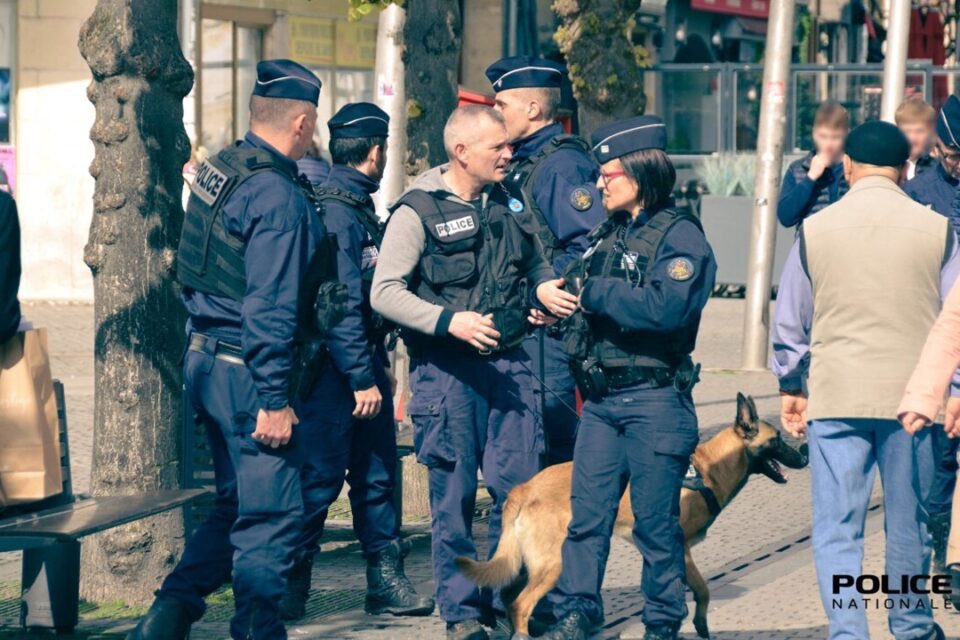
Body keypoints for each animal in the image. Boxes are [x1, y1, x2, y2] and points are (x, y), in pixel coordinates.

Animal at [458, 392, 808, 636]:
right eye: (777, 440)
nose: (804, 455)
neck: (709, 467)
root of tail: (524, 487)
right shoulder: (679, 548)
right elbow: (703, 590)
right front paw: (698, 624)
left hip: (525, 564)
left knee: (507, 598)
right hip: (553, 563)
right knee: (521, 605)